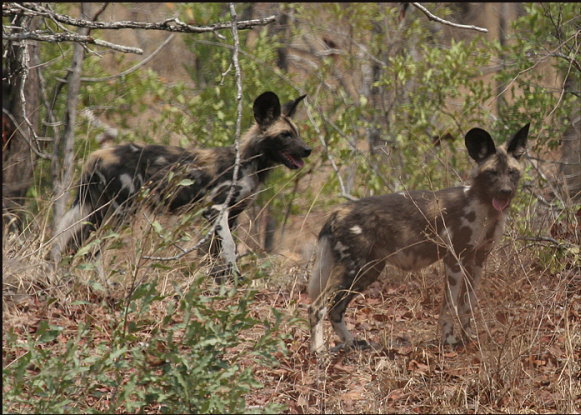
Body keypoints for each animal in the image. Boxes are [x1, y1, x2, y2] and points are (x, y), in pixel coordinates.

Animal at [308, 122, 532, 352]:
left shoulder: (477, 262)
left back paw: (352, 343)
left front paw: (469, 339)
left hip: (368, 272)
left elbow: (467, 305)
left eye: (512, 172)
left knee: (335, 309)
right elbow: (449, 306)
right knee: (317, 307)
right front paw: (448, 340)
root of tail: (337, 212)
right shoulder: (453, 261)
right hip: (353, 269)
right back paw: (318, 350)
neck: (484, 208)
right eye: (492, 173)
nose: (505, 191)